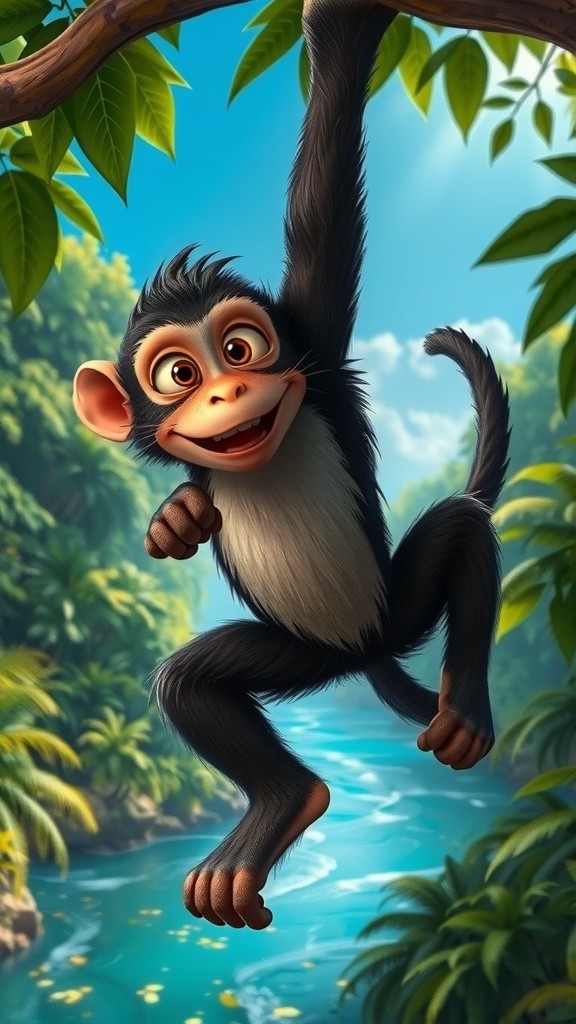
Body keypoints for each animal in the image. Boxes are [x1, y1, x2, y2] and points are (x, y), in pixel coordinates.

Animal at [72, 0, 510, 931]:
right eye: (179, 373)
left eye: (241, 346)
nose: (230, 387)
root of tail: (359, 651)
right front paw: (177, 521)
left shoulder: (314, 335)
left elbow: (324, 202)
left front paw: (340, 25)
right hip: (290, 654)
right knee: (192, 684)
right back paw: (284, 803)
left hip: (397, 607)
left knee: (460, 527)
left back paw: (463, 708)